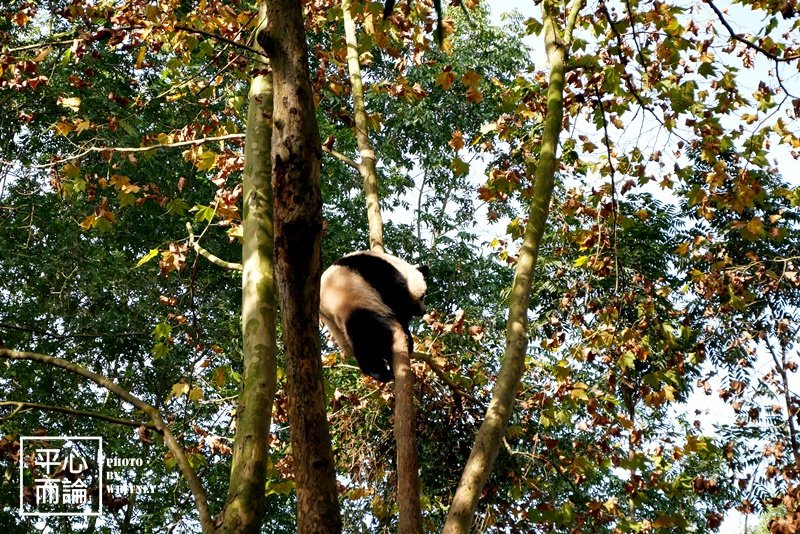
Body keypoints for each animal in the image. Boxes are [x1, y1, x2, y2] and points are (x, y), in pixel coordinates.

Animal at [320, 252, 428, 384]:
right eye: (423, 296)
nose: (423, 311)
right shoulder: (379, 271)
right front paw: (408, 336)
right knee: (368, 335)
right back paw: (380, 372)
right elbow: (397, 301)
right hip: (354, 304)